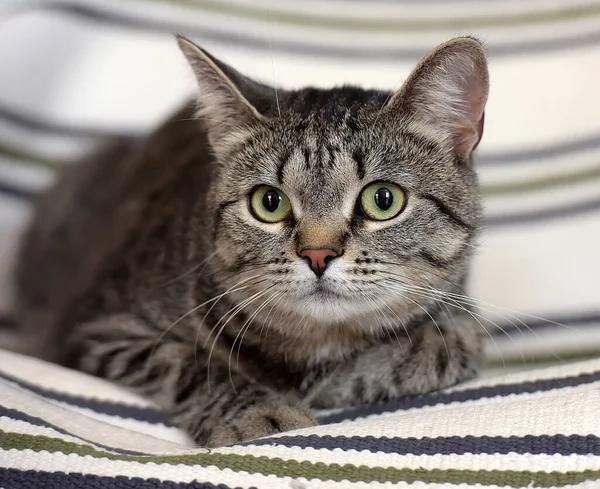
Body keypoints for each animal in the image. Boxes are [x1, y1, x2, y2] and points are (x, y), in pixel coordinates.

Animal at [12, 36, 488, 444]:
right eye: (269, 202)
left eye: (383, 199)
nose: (318, 253)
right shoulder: (97, 327)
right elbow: (188, 364)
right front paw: (261, 411)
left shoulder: (461, 317)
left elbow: (443, 345)